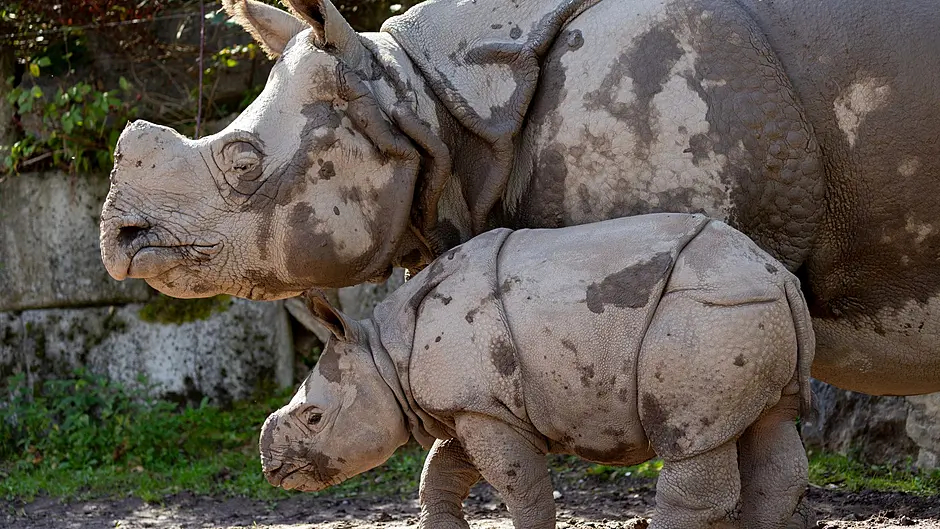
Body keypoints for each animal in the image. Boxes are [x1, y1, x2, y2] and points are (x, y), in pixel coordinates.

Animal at [259, 213, 814, 529]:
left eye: (314, 417)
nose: (272, 470)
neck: (385, 353)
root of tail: (781, 277)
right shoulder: (474, 405)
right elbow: (439, 473)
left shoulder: (481, 406)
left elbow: (517, 484)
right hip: (747, 316)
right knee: (774, 427)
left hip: (706, 315)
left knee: (691, 441)